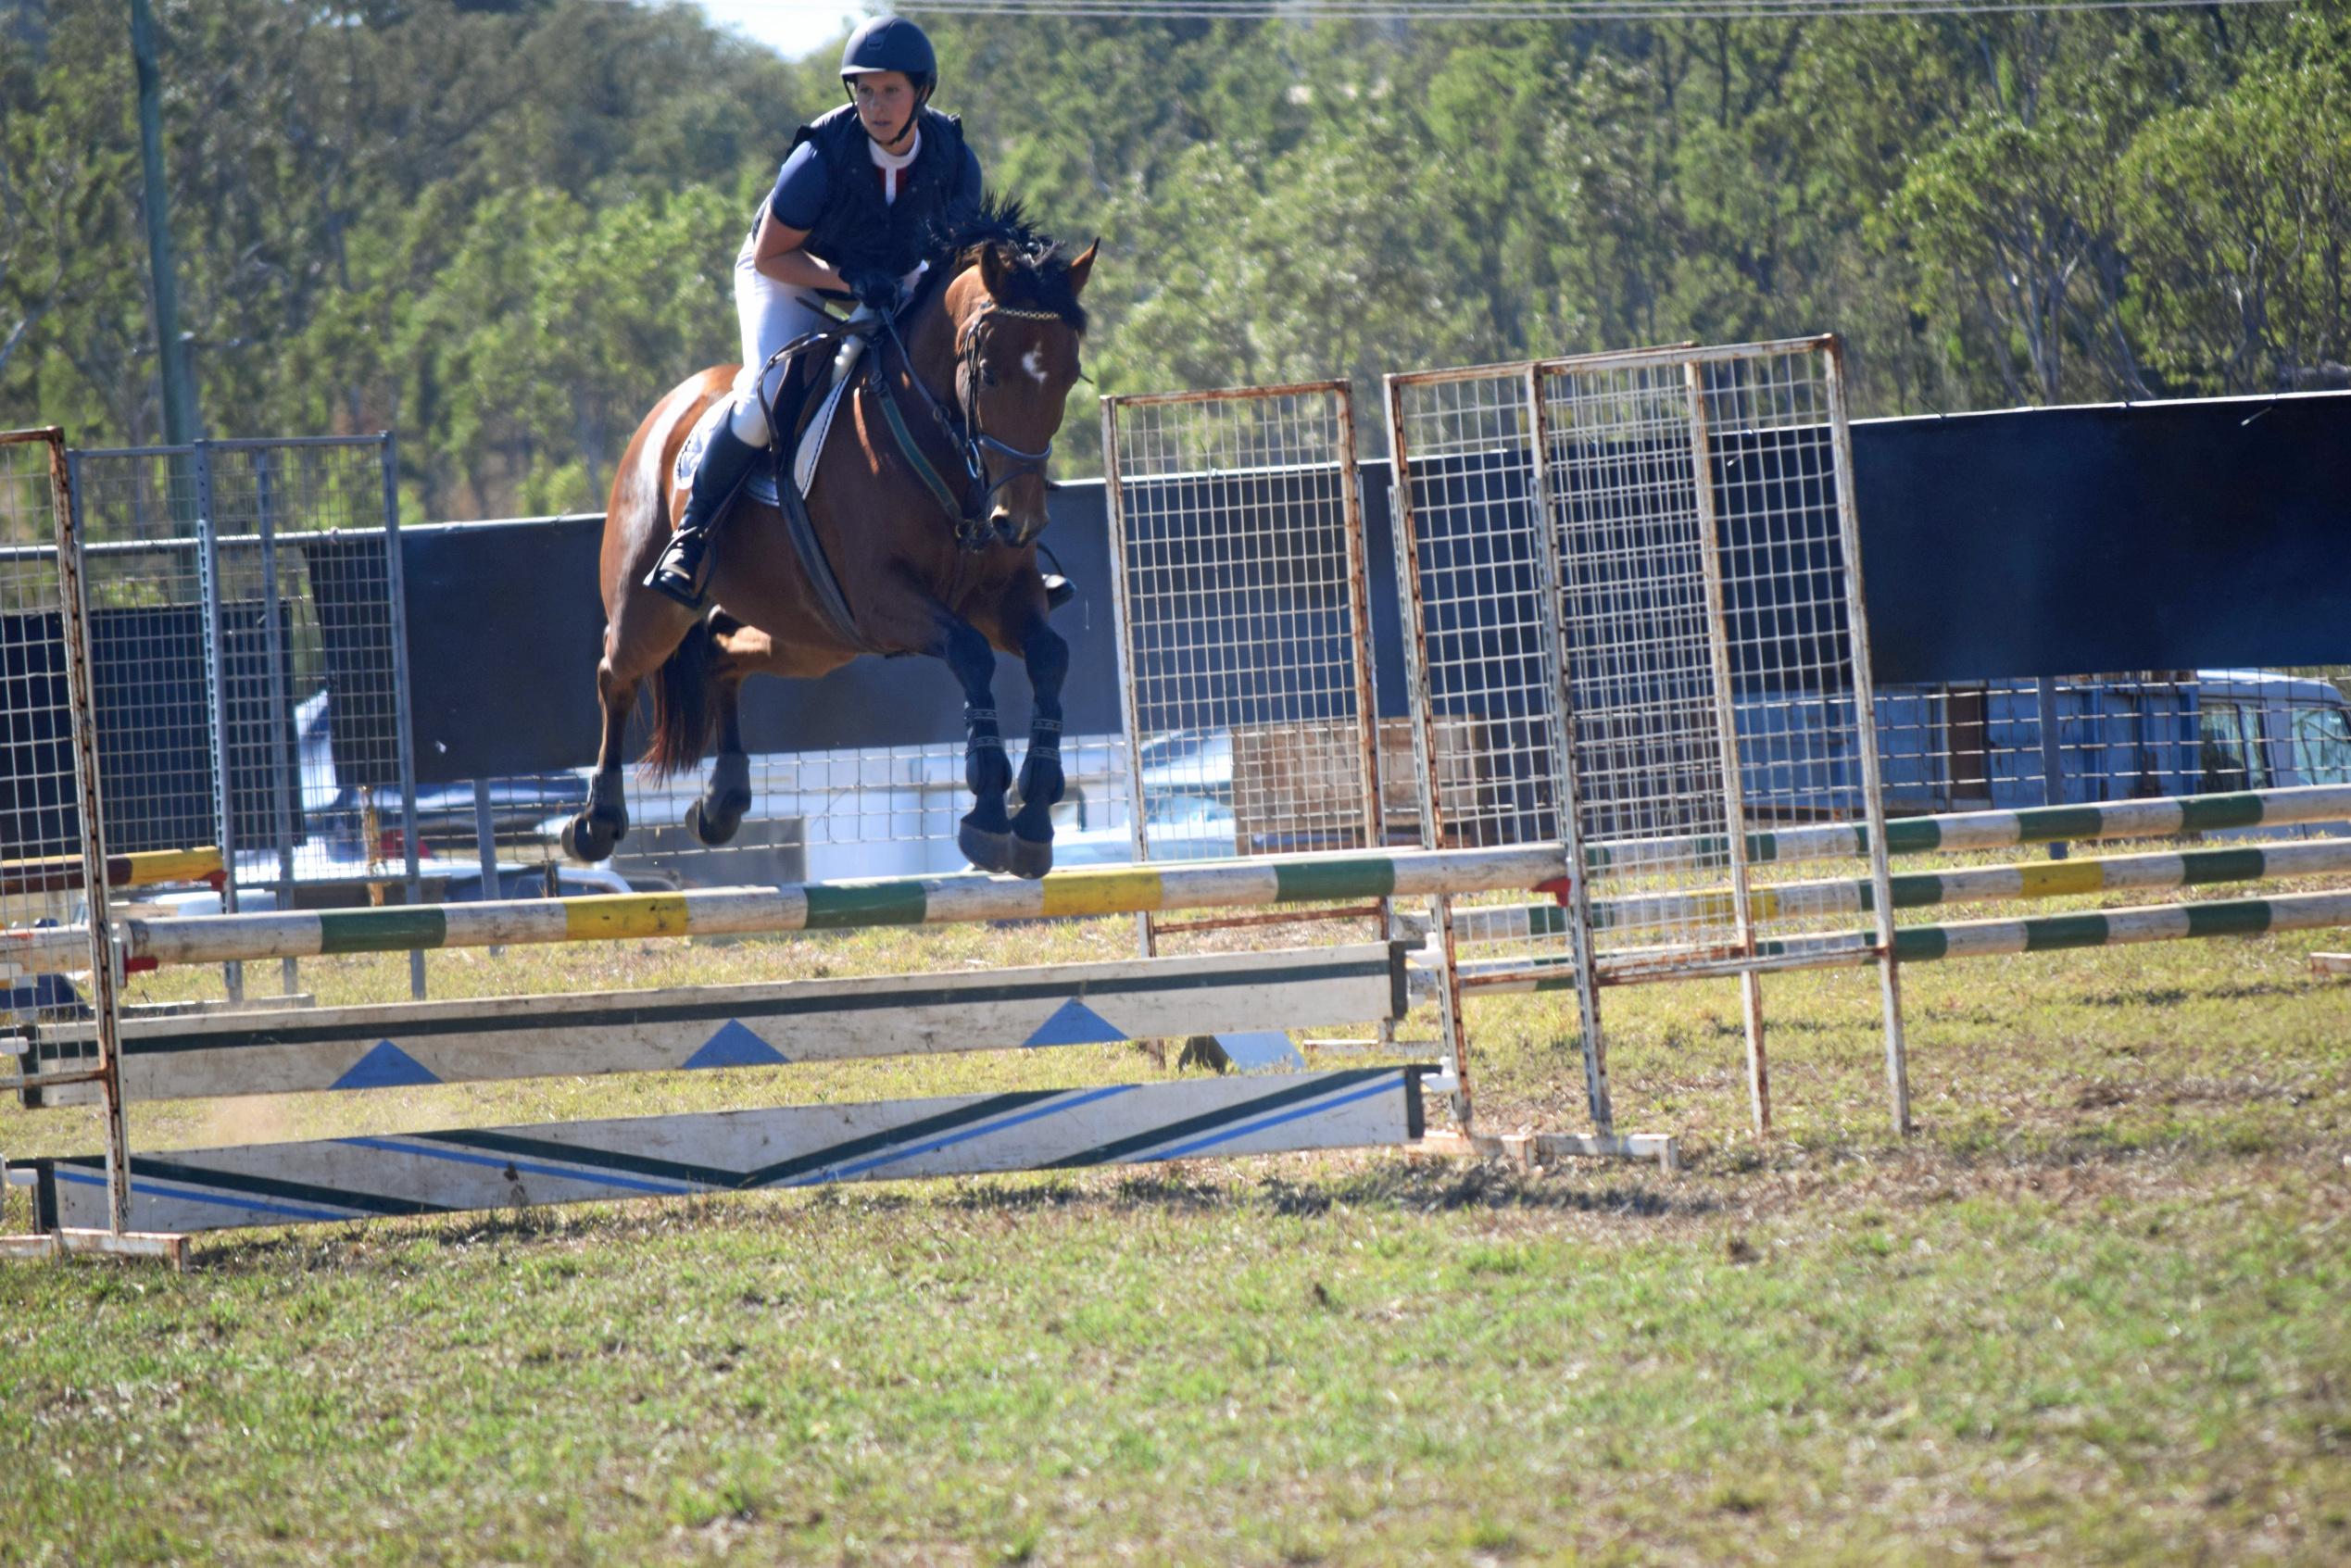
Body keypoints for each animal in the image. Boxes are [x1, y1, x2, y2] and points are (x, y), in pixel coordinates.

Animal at [559, 206, 1090, 884]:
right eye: (991, 374)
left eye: (1069, 377)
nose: (1018, 522)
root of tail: (670, 407)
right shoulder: (884, 598)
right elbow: (972, 656)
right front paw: (989, 810)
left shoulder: (999, 597)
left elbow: (1050, 656)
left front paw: (1035, 815)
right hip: (656, 609)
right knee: (617, 671)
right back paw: (597, 820)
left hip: (814, 636)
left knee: (722, 650)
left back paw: (723, 800)